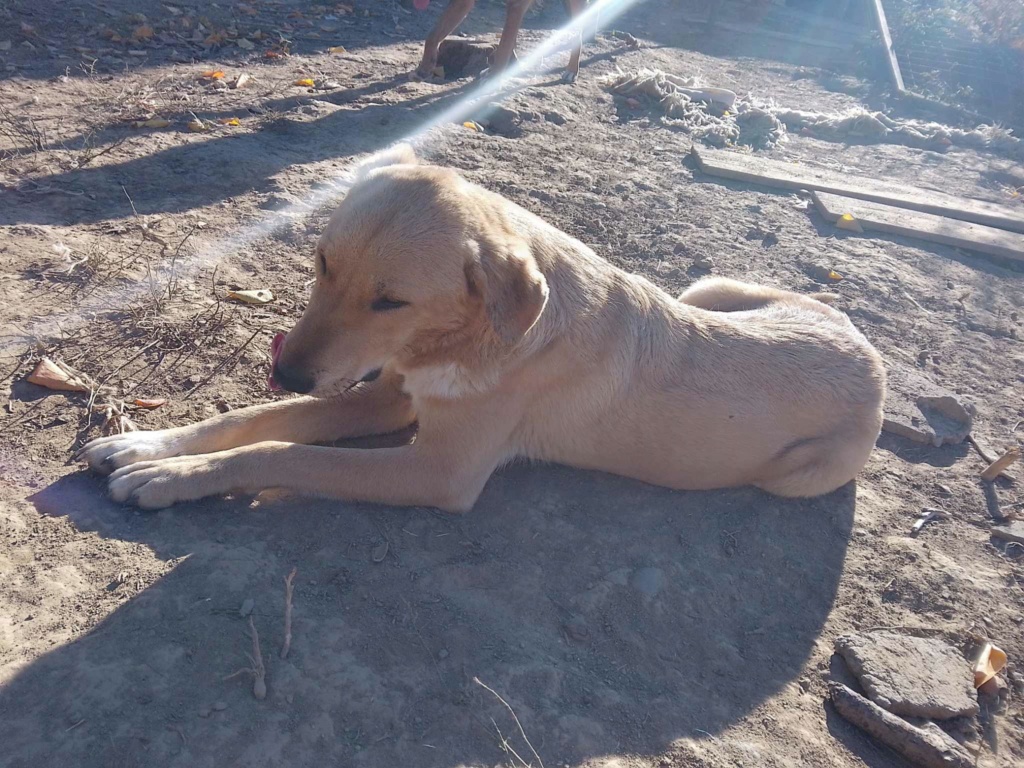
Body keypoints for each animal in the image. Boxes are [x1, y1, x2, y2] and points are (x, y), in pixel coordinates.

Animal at [75, 147, 884, 514]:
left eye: (390, 301)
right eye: (323, 263)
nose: (288, 371)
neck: (466, 338)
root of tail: (871, 355)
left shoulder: (438, 472)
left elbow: (285, 451)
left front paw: (173, 478)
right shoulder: (390, 395)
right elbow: (254, 419)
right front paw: (148, 444)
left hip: (795, 476)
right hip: (711, 286)